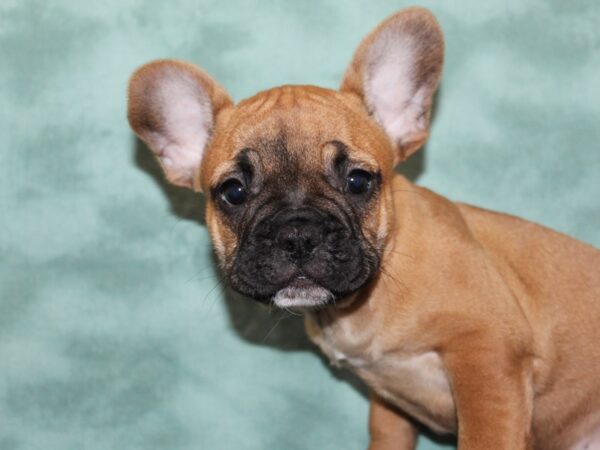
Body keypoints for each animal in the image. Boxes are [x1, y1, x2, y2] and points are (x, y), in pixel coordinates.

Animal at [126, 7, 600, 450]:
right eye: (233, 192)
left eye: (358, 181)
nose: (297, 234)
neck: (368, 296)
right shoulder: (389, 407)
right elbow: (387, 436)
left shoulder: (488, 354)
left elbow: (485, 435)